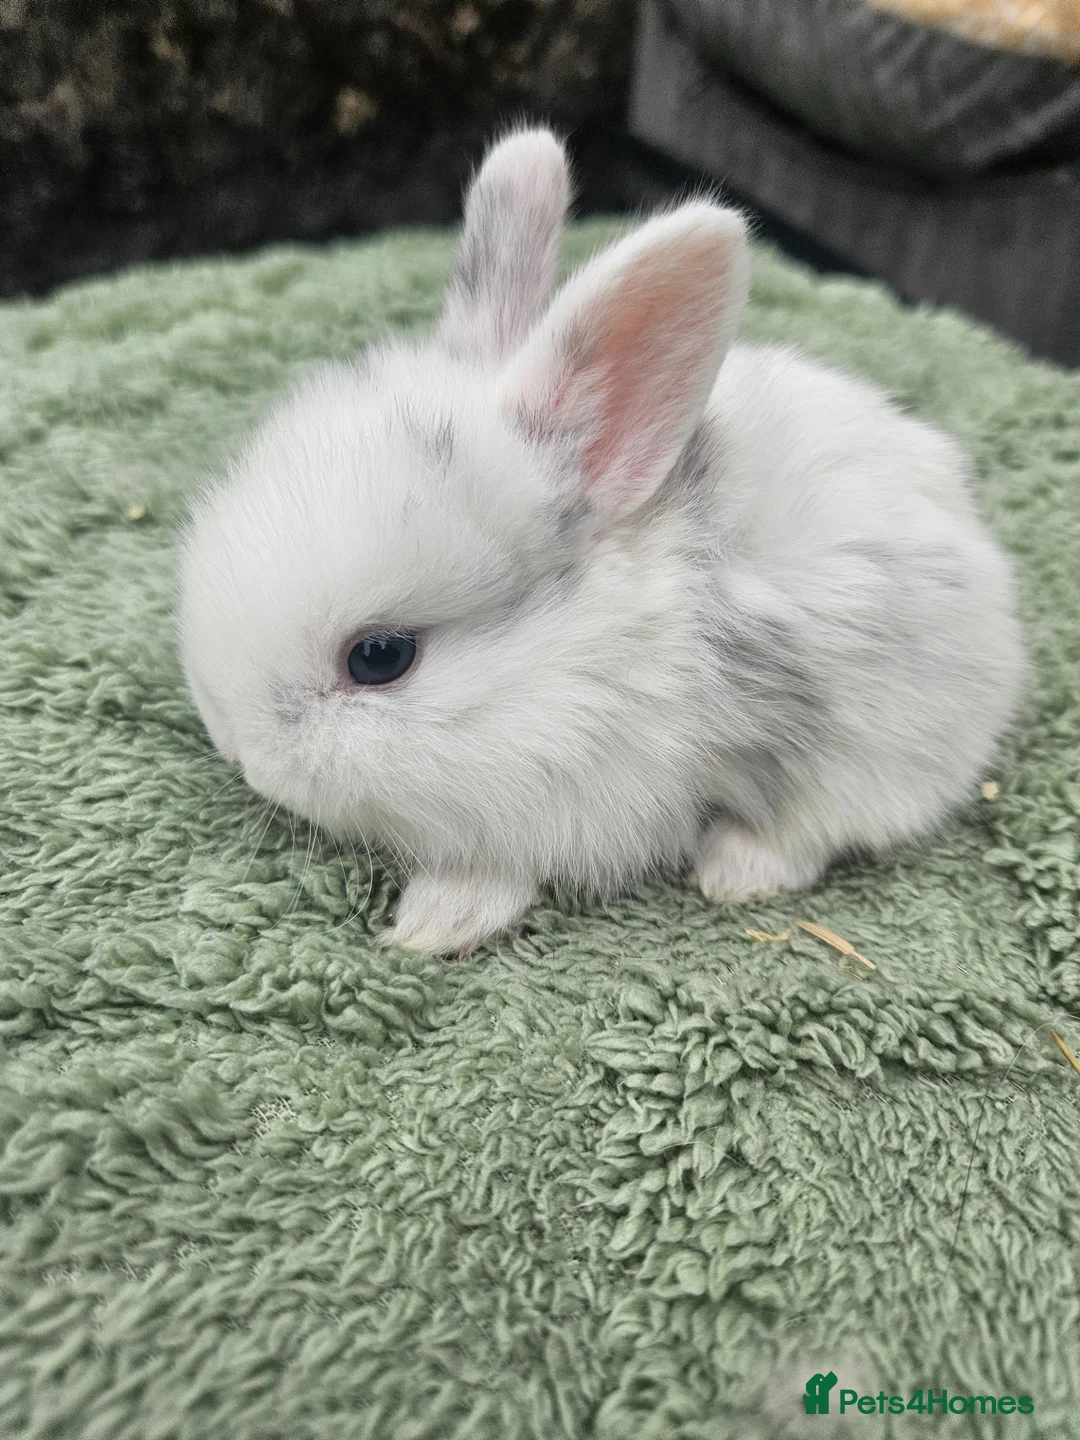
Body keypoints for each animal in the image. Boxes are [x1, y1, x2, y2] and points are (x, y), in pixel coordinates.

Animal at [177, 127, 1024, 955]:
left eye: (380, 656)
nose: (234, 747)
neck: (587, 653)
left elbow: (498, 870)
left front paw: (435, 924)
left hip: (872, 755)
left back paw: (737, 870)